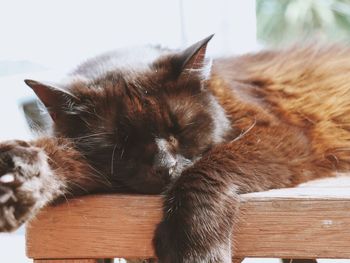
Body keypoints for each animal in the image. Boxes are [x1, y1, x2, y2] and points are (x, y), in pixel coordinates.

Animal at [0, 34, 350, 262]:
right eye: (120, 144)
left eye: (179, 129)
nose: (164, 166)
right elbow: (54, 155)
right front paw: (18, 181)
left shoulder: (277, 135)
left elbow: (204, 170)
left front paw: (194, 248)